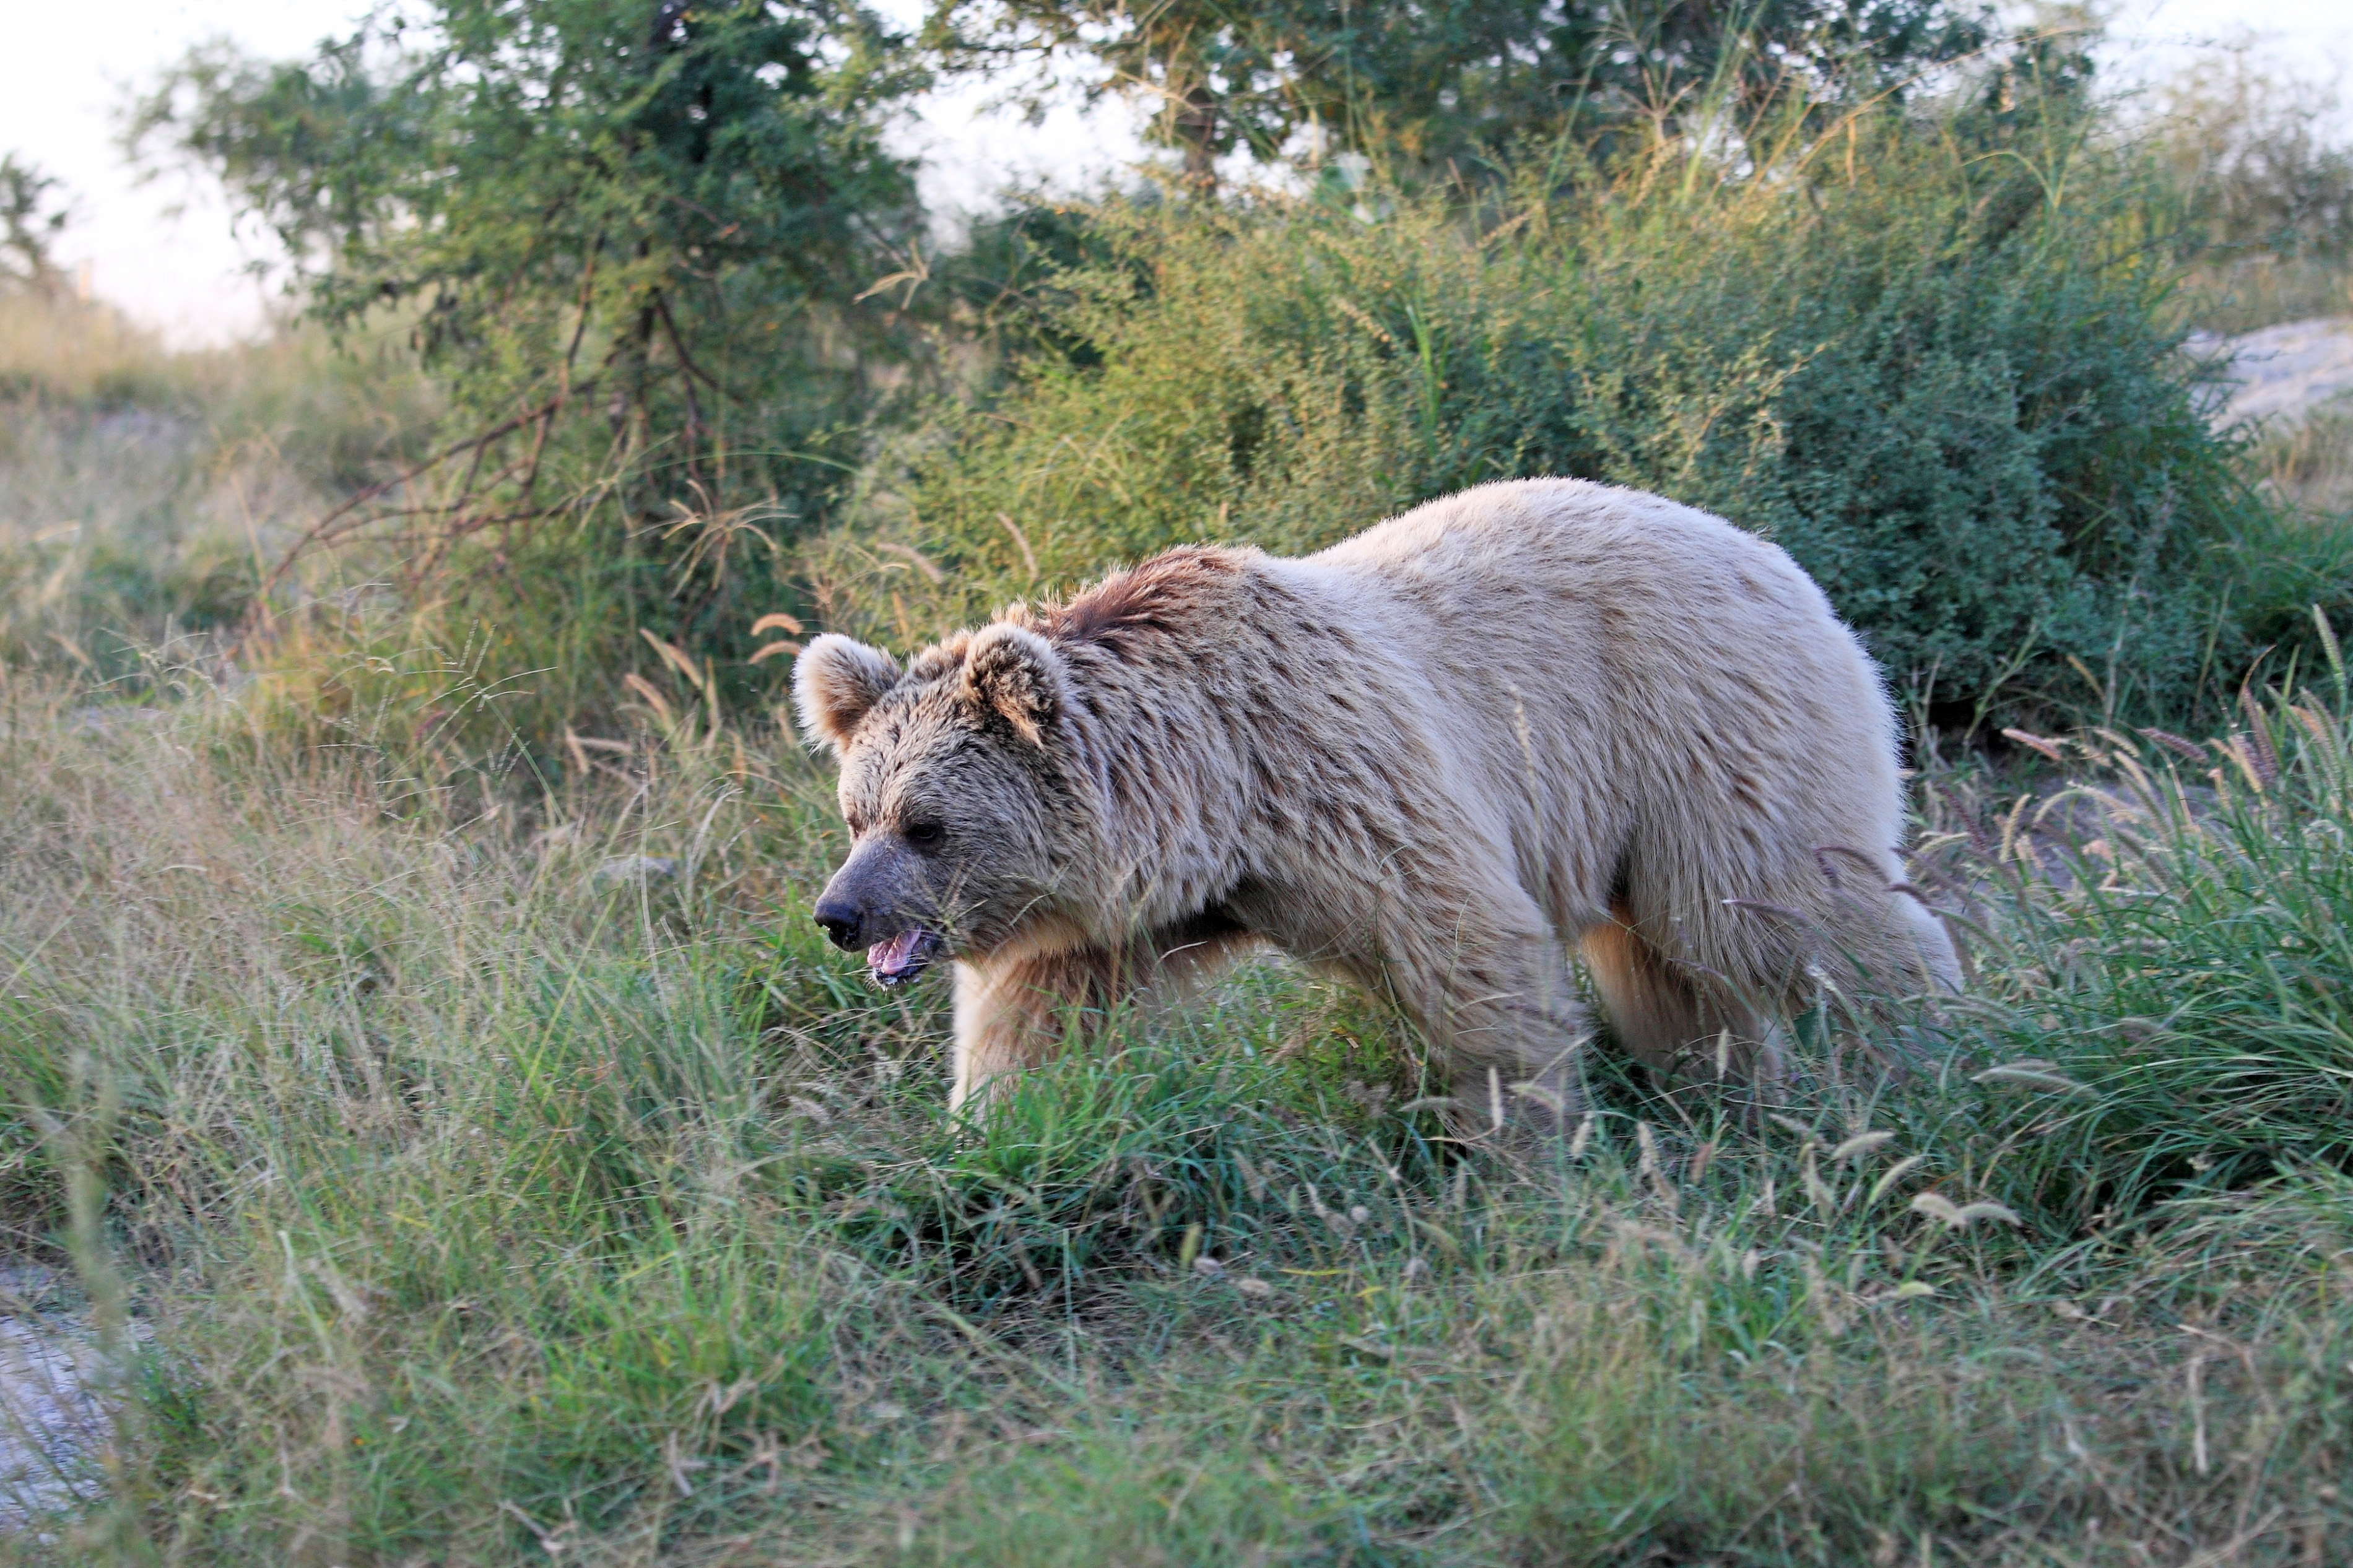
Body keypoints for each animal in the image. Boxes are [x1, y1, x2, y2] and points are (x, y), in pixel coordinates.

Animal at [794, 477, 1959, 1126]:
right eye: (856, 814)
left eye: (926, 824)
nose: (839, 914)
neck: (1212, 794)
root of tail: (1775, 558)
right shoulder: (1109, 917)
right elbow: (1033, 1027)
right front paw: (987, 1140)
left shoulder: (1344, 783)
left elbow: (1472, 953)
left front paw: (1523, 1142)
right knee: (1672, 968)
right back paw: (1723, 1086)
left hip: (1709, 733)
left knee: (1784, 909)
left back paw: (1923, 1044)